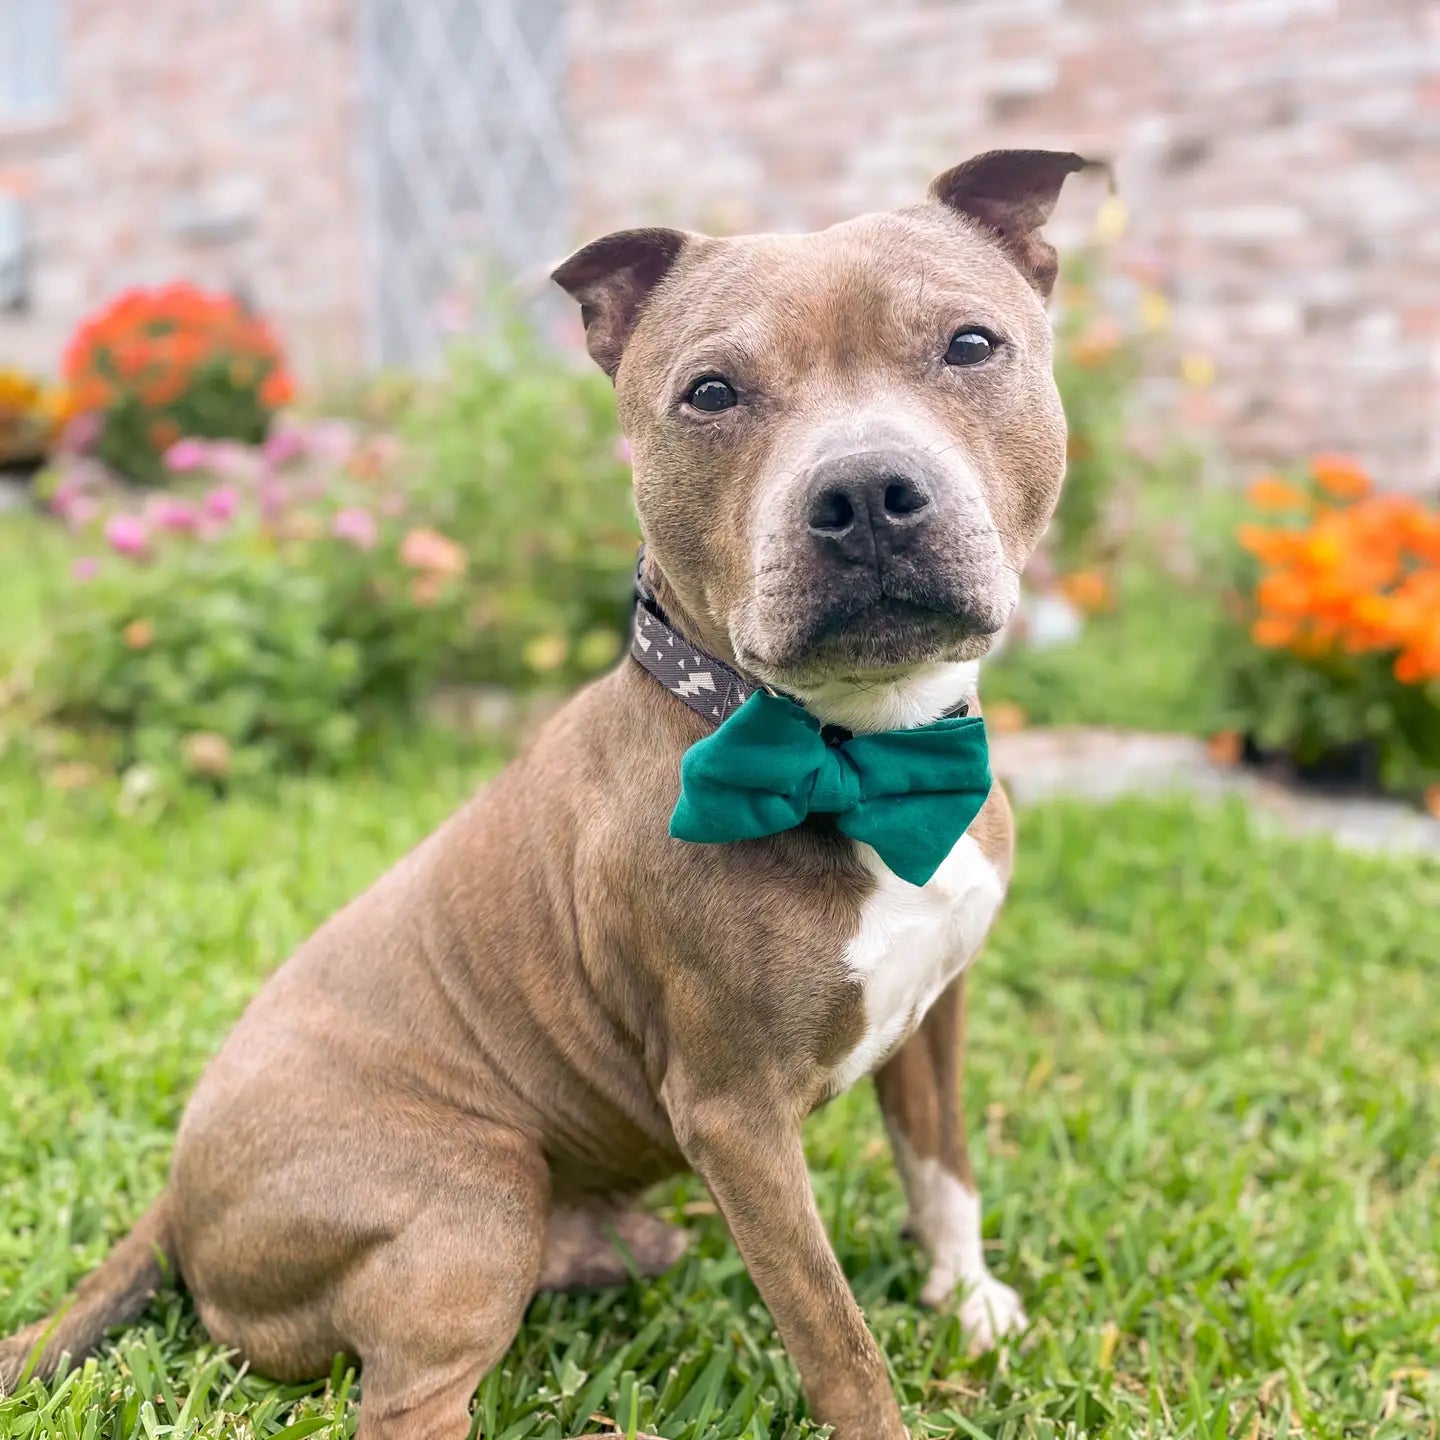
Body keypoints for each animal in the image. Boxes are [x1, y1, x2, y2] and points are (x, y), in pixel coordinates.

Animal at [5, 149, 1094, 1440]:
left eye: (971, 345)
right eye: (711, 392)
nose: (868, 489)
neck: (857, 748)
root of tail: (174, 1197)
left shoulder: (936, 1008)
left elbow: (942, 1172)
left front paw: (967, 1303)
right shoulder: (737, 1117)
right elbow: (834, 1334)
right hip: (469, 1207)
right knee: (410, 1401)